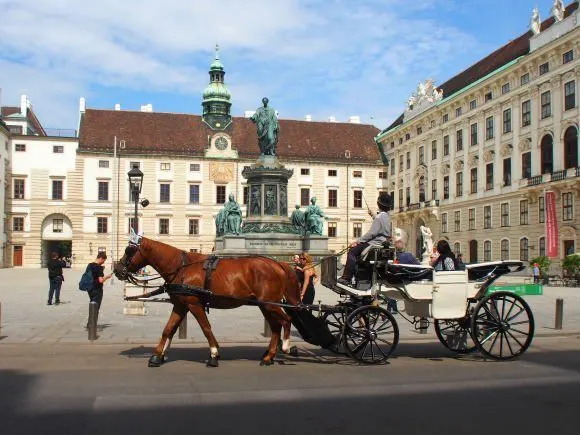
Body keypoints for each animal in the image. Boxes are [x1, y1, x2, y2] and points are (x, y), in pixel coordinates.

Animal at [115, 238, 302, 368]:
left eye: (129, 251)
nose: (117, 269)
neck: (181, 267)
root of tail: (278, 263)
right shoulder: (180, 306)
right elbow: (168, 329)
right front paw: (157, 356)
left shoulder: (194, 305)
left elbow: (206, 328)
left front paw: (213, 354)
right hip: (265, 305)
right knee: (276, 327)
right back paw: (268, 357)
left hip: (270, 304)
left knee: (286, 321)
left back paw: (286, 347)